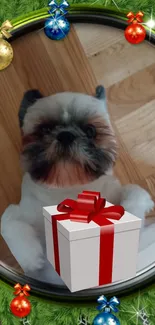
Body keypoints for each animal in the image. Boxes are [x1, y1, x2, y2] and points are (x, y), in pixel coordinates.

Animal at [0, 86, 154, 284]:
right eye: (45, 129)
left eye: (90, 130)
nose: (66, 135)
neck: (69, 188)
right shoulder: (21, 211)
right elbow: (8, 218)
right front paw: (30, 255)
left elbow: (135, 193)